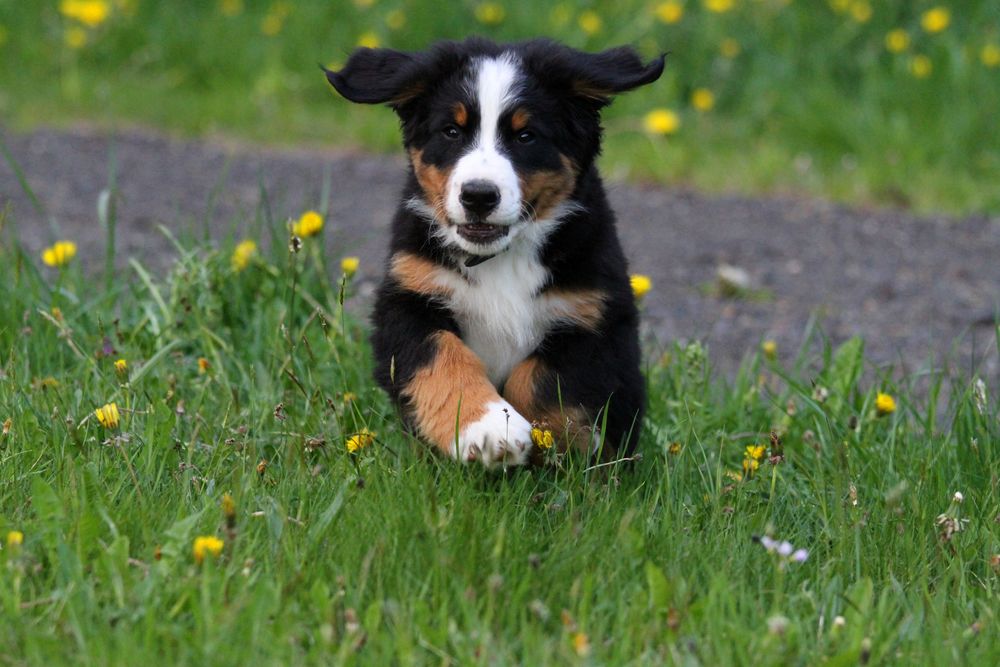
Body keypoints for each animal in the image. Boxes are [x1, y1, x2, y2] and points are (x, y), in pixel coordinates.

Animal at [326, 36, 664, 468]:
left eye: (526, 136)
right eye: (451, 131)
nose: (478, 195)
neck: (502, 259)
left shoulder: (596, 321)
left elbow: (535, 378)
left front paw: (553, 448)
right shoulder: (407, 300)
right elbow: (445, 357)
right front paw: (489, 430)